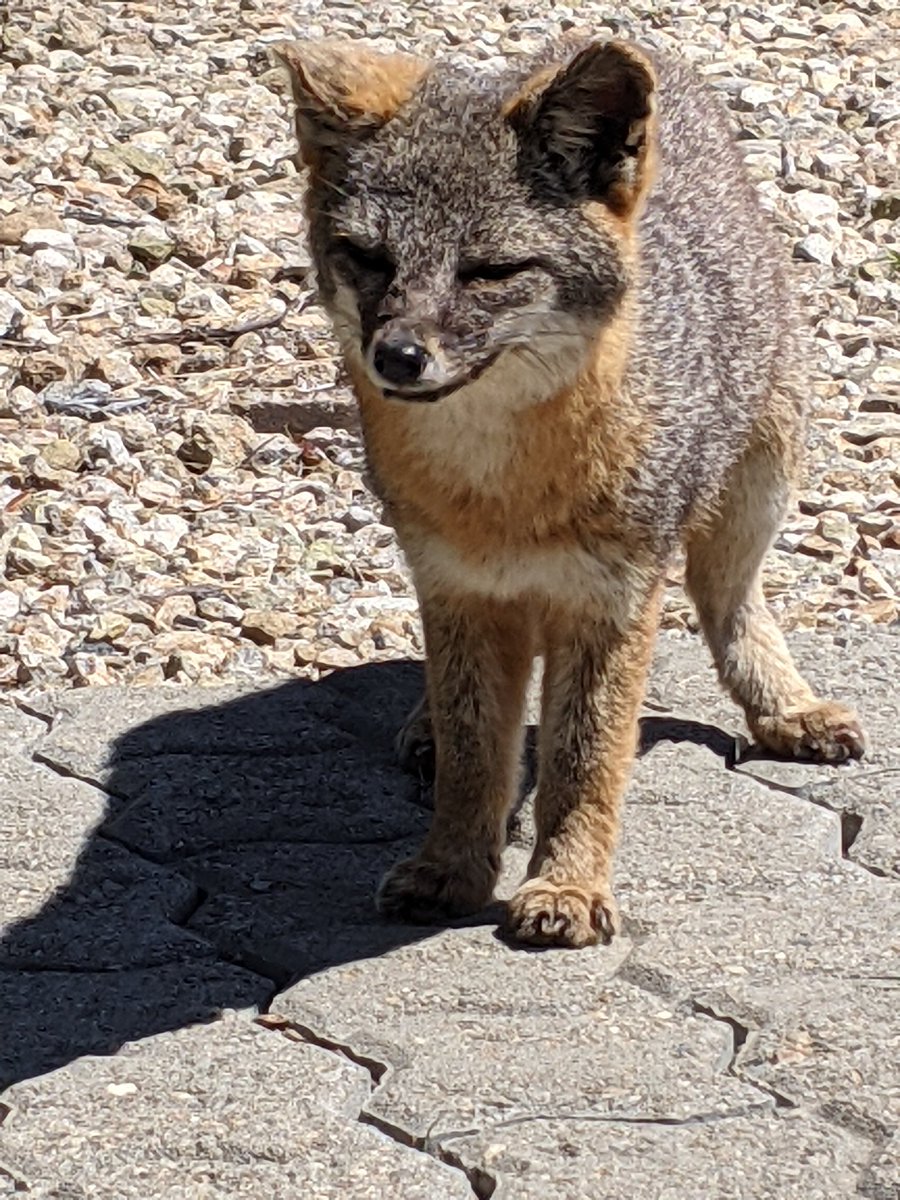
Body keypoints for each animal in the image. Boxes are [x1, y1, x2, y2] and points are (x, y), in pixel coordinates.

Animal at [274, 35, 866, 949]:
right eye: (368, 258)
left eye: (490, 271)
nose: (398, 356)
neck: (503, 497)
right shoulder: (455, 586)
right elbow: (476, 750)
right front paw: (452, 868)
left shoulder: (613, 599)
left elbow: (585, 756)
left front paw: (566, 885)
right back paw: (425, 726)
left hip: (759, 482)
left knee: (727, 601)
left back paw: (784, 705)